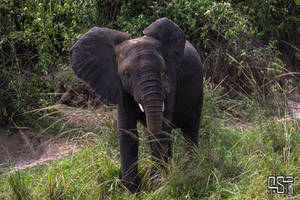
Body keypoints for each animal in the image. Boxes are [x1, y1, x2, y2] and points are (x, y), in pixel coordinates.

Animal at [69, 17, 203, 192]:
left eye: (163, 71)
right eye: (126, 74)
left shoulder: (171, 84)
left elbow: (161, 132)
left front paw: (156, 186)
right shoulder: (119, 87)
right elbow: (128, 132)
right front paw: (133, 190)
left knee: (190, 129)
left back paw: (192, 168)